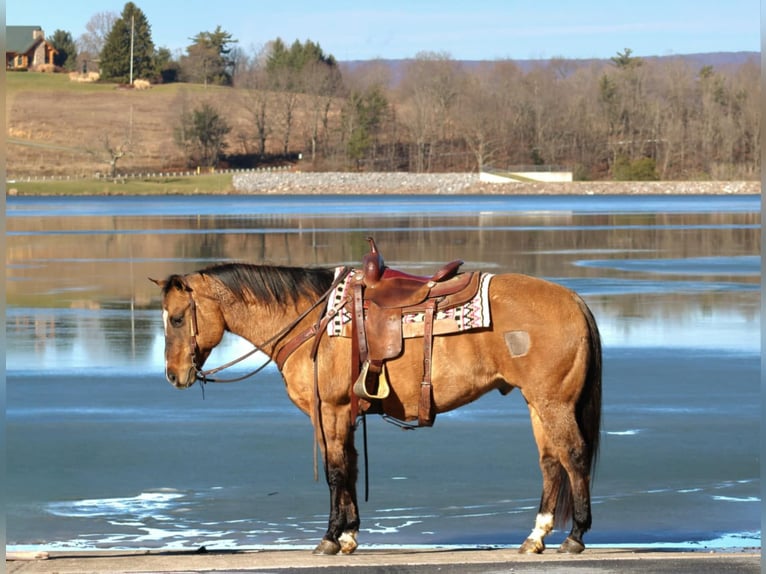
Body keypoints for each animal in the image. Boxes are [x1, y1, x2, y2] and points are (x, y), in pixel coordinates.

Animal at [153, 237, 604, 560]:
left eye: (176, 318)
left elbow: (336, 471)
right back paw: (536, 536)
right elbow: (350, 468)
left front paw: (330, 538)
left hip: (553, 402)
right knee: (551, 463)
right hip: (537, 403)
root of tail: (574, 300)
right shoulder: (344, 415)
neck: (313, 320)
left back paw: (575, 535)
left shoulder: (330, 411)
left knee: (574, 456)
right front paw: (350, 535)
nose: (174, 376)